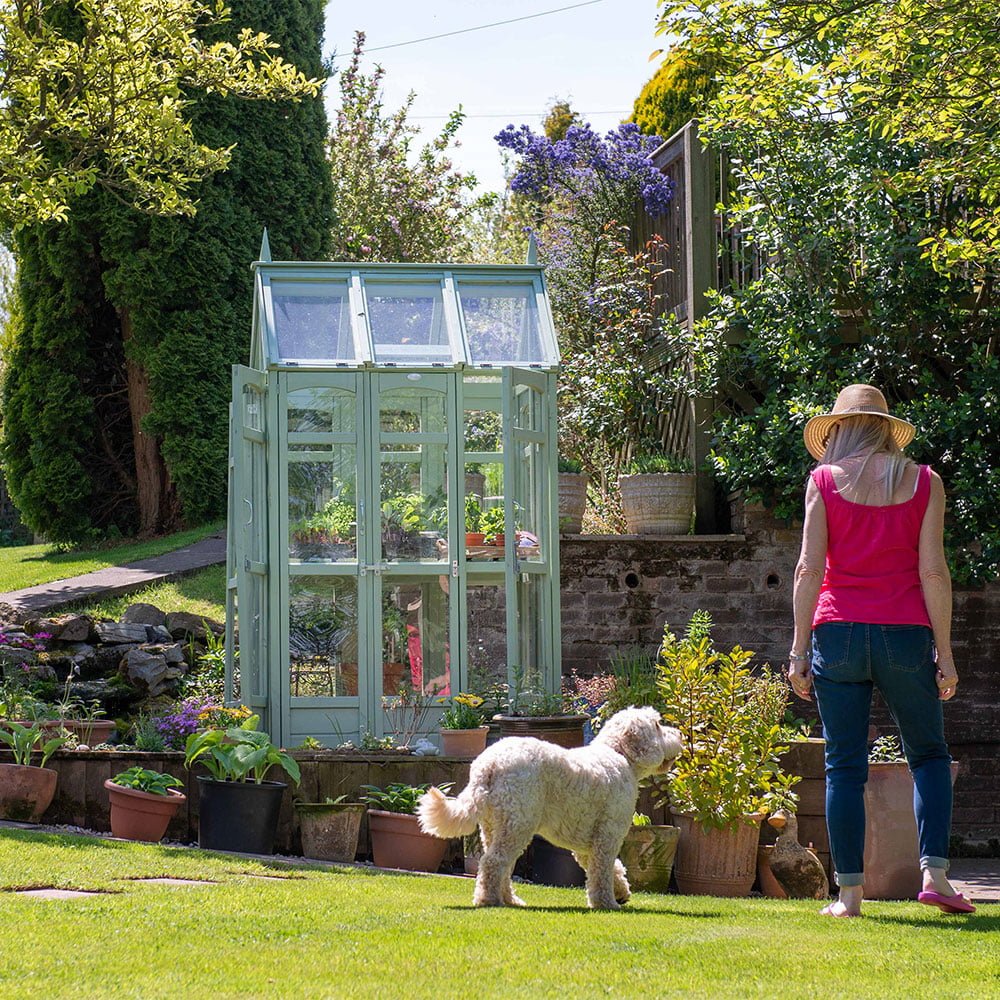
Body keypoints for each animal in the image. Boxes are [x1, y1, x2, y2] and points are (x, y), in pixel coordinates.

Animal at [414, 708, 680, 912]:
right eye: (658, 724)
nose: (678, 733)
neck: (619, 755)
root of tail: (488, 764)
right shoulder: (608, 835)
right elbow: (603, 870)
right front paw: (606, 902)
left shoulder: (588, 845)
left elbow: (611, 867)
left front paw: (621, 892)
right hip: (517, 825)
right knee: (493, 862)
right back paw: (489, 900)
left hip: (495, 827)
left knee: (502, 867)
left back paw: (510, 899)